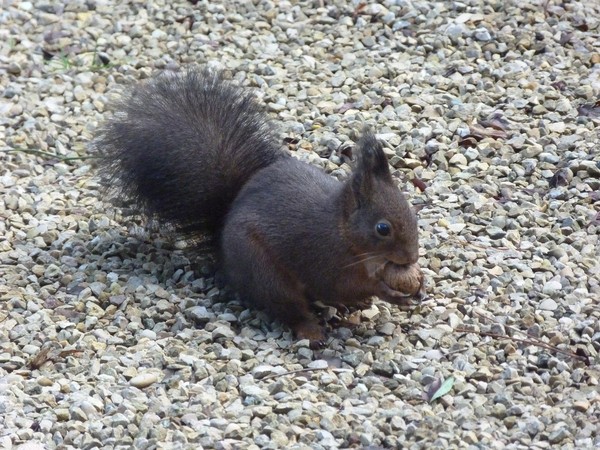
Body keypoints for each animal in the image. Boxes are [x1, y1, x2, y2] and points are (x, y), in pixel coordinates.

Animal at [95, 67, 422, 344]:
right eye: (382, 228)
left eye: (411, 212)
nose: (412, 257)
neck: (343, 230)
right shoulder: (326, 260)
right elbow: (344, 285)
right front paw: (388, 292)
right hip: (265, 273)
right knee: (290, 308)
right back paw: (312, 330)